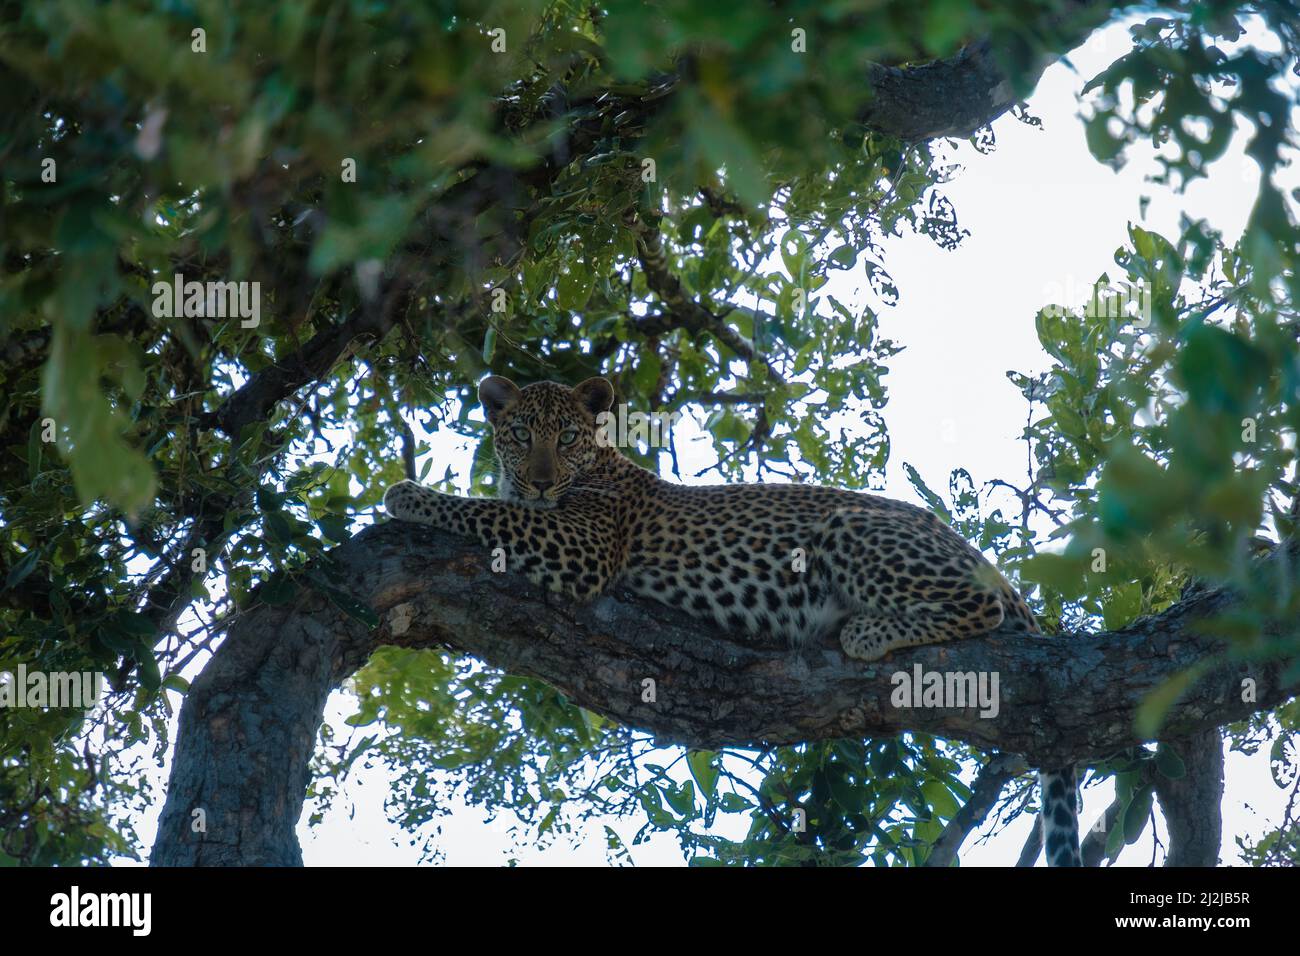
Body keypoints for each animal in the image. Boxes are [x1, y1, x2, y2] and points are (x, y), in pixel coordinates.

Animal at [383, 374, 1081, 866]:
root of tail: (980, 556)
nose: (539, 480)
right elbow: (498, 507)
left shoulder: (582, 542)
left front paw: (408, 495)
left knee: (982, 607)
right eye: (522, 434)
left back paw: (866, 631)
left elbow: (487, 512)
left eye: (569, 437)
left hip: (850, 528)